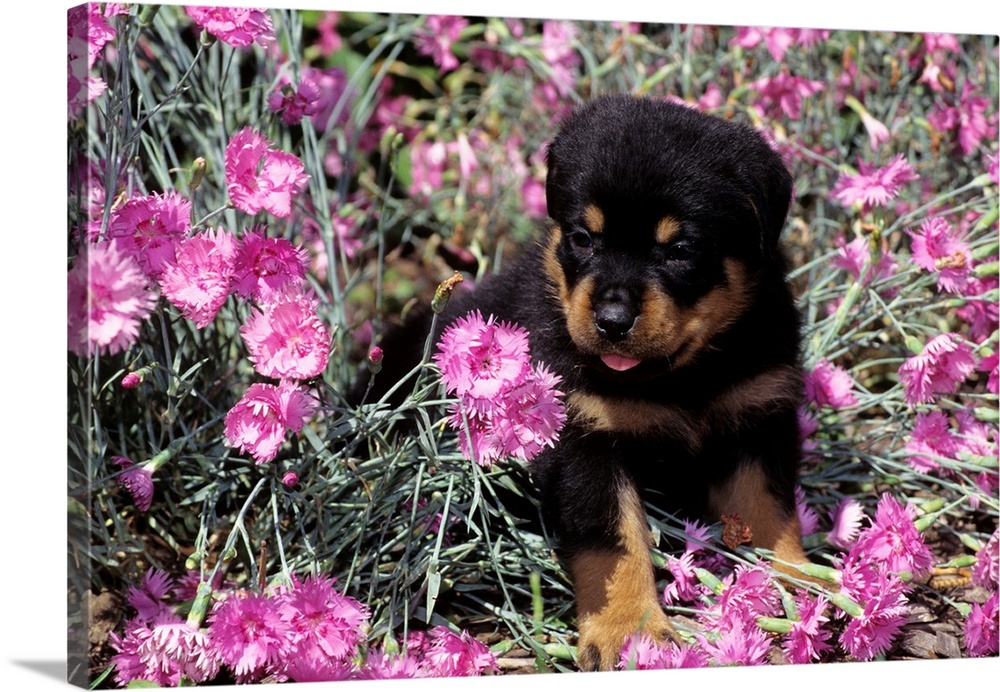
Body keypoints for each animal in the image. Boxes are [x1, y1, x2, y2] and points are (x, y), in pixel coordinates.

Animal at [368, 92, 804, 672]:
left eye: (681, 250)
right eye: (582, 238)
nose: (612, 320)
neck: (683, 376)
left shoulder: (758, 413)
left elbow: (769, 512)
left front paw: (803, 586)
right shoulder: (584, 436)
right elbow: (614, 542)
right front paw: (631, 633)